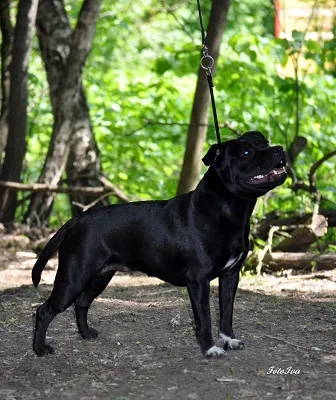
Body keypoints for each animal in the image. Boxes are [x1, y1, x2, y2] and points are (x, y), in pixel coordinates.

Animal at [32, 130, 286, 356]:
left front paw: (229, 340)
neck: (227, 210)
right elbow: (205, 318)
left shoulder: (230, 275)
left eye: (265, 142)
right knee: (44, 310)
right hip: (73, 278)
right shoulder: (199, 280)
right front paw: (210, 349)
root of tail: (77, 219)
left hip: (99, 277)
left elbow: (226, 312)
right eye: (246, 152)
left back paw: (86, 334)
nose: (279, 149)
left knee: (82, 304)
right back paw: (40, 349)